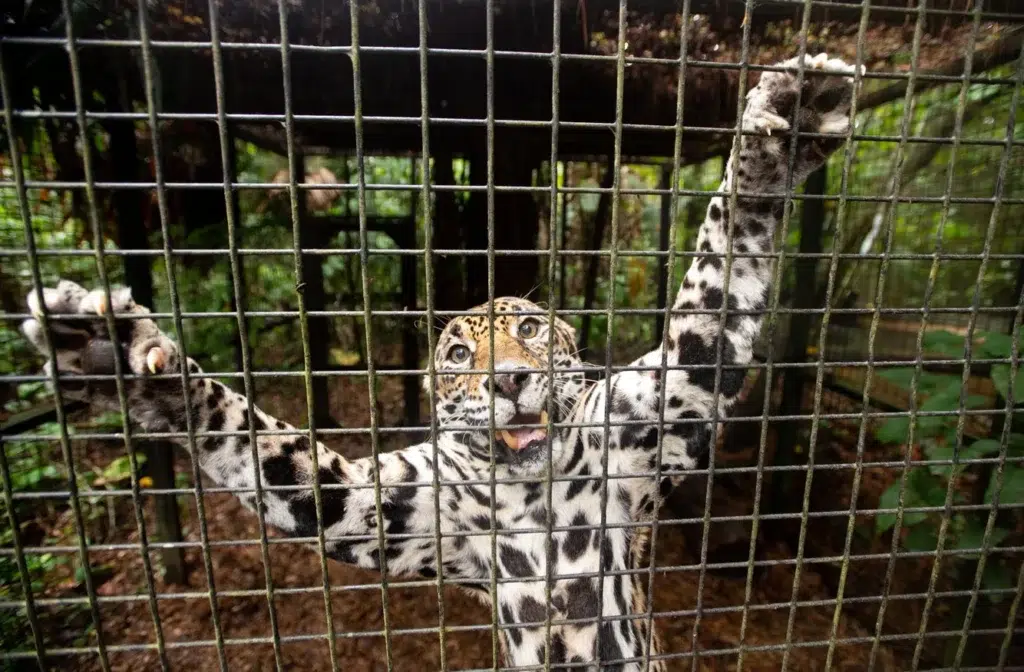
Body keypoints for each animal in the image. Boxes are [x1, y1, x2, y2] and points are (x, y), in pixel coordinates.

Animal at [21, 53, 862, 670]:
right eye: (459, 353)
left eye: (530, 330)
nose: (508, 379)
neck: (530, 492)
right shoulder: (387, 510)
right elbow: (262, 449)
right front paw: (115, 355)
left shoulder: (664, 406)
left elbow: (719, 271)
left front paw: (779, 136)